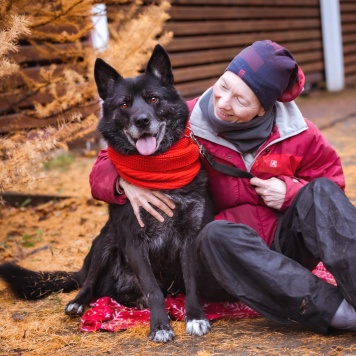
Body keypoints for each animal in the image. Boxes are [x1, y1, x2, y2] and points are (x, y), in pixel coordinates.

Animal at [0, 44, 214, 342]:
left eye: (154, 99)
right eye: (124, 104)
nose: (142, 120)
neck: (158, 170)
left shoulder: (189, 237)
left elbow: (192, 283)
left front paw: (195, 317)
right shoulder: (133, 242)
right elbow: (153, 289)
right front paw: (160, 325)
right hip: (106, 241)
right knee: (90, 283)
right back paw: (79, 302)